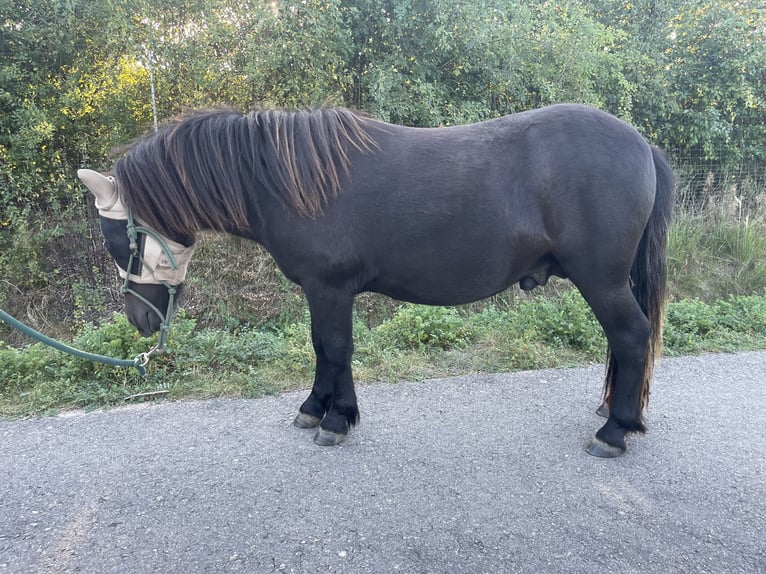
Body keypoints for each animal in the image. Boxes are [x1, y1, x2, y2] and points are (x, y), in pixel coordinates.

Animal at [81, 106, 676, 460]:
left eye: (116, 241)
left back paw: (615, 430)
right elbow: (322, 348)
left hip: (602, 281)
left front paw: (336, 419)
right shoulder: (321, 291)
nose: (139, 321)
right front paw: (319, 408)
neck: (286, 179)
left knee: (630, 336)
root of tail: (643, 144)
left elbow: (335, 347)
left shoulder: (330, 288)